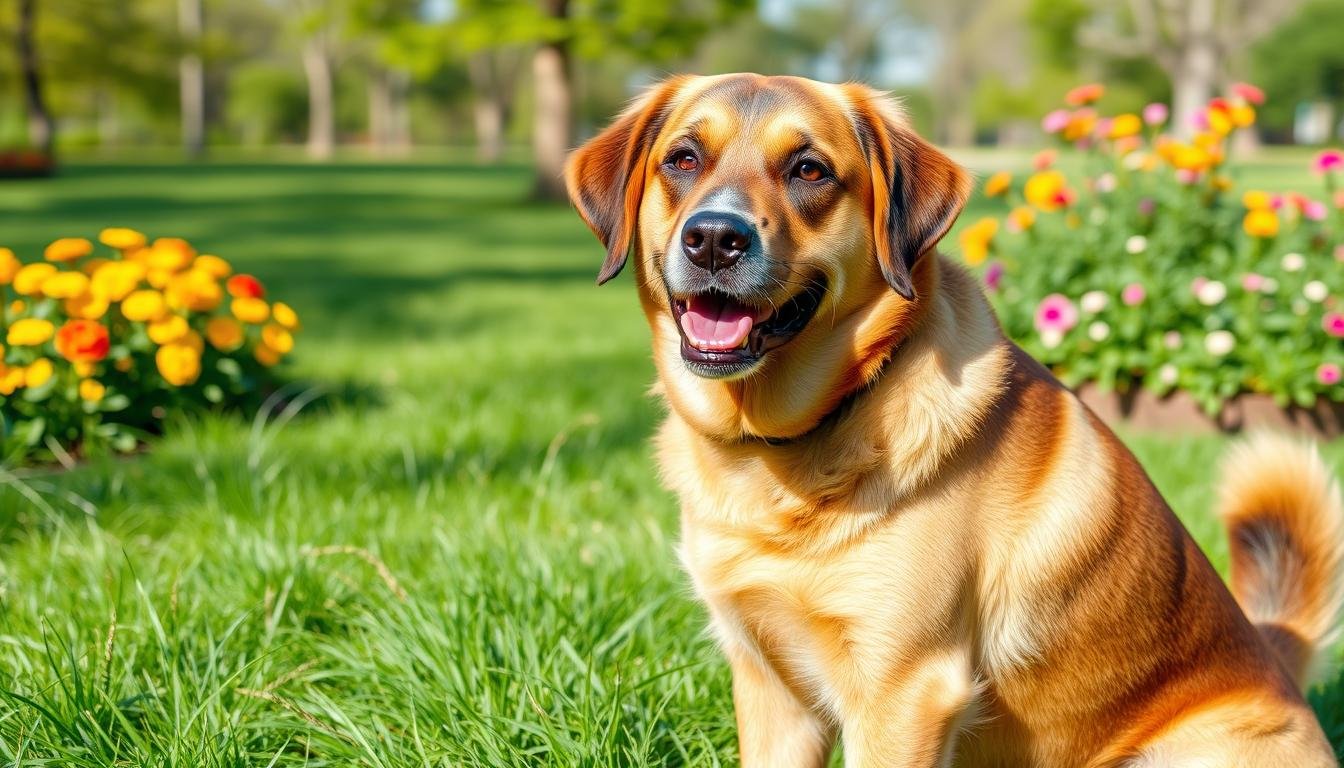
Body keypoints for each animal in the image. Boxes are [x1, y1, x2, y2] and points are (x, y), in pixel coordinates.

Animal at [561, 73, 1338, 768]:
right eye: (683, 159)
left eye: (809, 169)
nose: (714, 238)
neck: (779, 450)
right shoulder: (770, 686)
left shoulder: (904, 693)